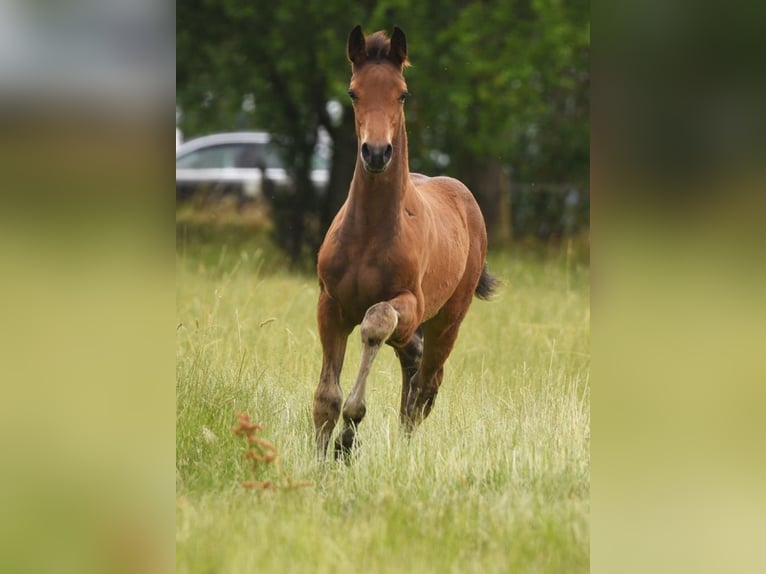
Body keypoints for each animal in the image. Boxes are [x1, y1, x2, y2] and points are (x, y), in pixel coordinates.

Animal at [314, 24, 498, 462]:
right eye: (353, 92)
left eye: (402, 93)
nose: (377, 152)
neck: (368, 232)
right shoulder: (330, 304)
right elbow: (326, 396)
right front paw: (319, 458)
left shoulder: (408, 304)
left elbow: (375, 323)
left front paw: (347, 438)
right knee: (412, 364)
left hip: (448, 320)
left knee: (427, 382)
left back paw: (403, 446)